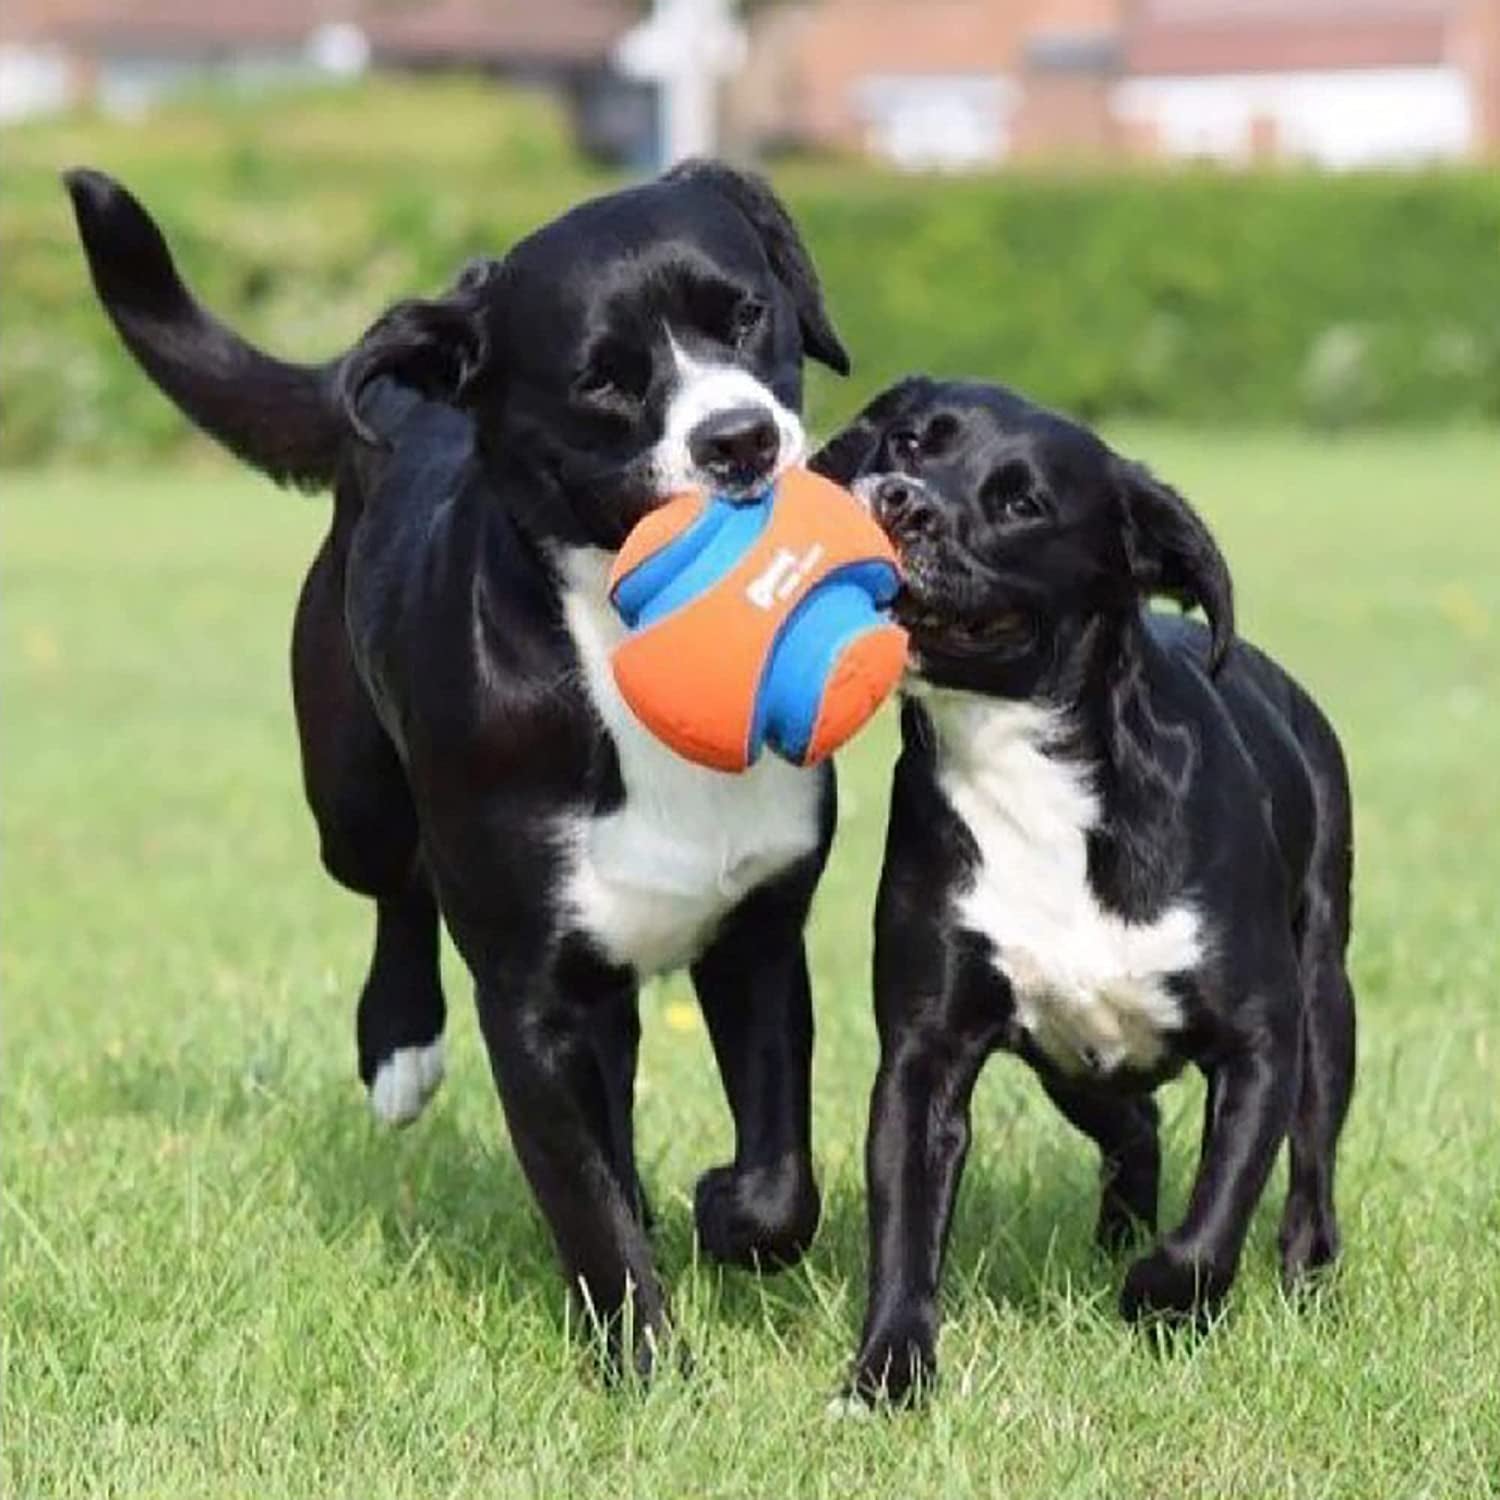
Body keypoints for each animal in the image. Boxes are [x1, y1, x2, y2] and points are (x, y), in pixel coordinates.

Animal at [64, 161, 852, 1374]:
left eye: (745, 315)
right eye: (603, 380)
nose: (739, 442)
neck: (622, 657)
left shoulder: (759, 924)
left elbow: (778, 1178)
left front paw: (726, 1213)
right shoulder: (529, 994)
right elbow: (586, 1205)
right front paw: (643, 1363)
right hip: (352, 793)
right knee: (397, 883)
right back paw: (397, 1050)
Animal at [822, 378, 1362, 1404]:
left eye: (1022, 503)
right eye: (907, 441)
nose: (901, 499)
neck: (1029, 764)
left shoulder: (1261, 1039)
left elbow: (1214, 1218)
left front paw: (1158, 1293)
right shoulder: (924, 1053)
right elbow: (904, 1225)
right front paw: (885, 1379)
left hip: (1325, 1002)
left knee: (1309, 1163)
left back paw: (1306, 1278)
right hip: (1075, 1060)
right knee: (1136, 1126)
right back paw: (1114, 1238)